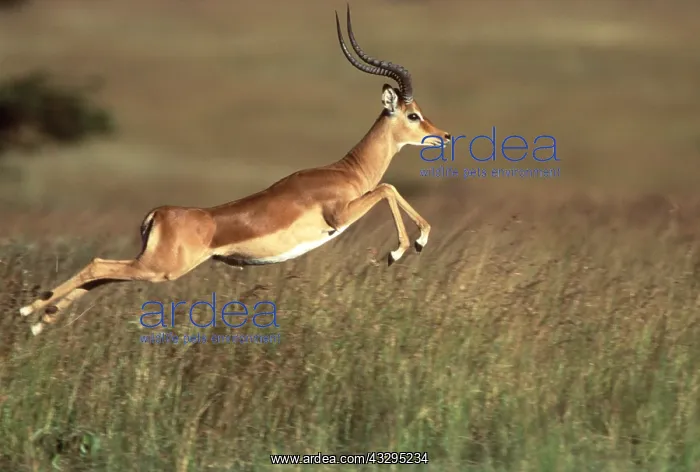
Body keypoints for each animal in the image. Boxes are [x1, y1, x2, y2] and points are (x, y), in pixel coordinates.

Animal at [19, 5, 451, 336]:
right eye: (413, 115)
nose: (444, 135)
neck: (347, 171)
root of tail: (158, 214)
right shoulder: (340, 215)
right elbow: (389, 188)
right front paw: (405, 247)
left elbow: (390, 189)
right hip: (159, 269)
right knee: (97, 265)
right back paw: (29, 312)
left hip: (149, 266)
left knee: (100, 275)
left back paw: (42, 320)